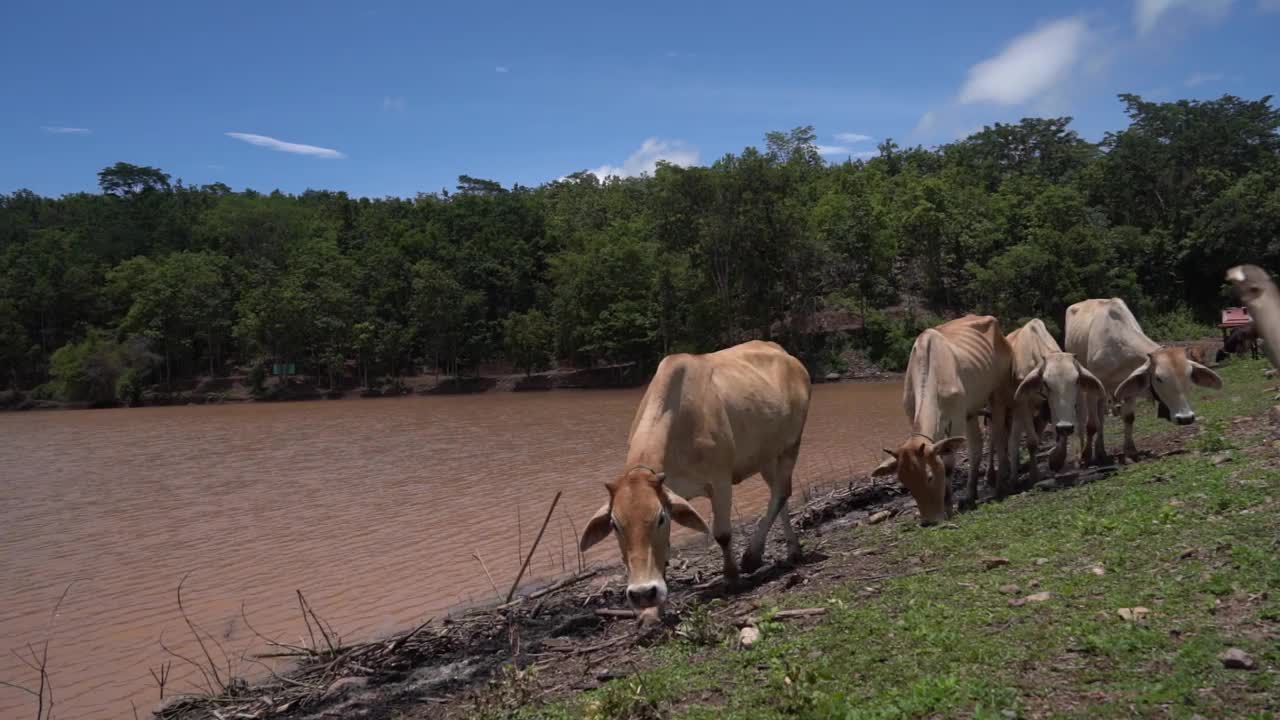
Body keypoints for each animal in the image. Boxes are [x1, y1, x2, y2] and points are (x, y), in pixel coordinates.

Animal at [581, 340, 808, 609]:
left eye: (659, 518)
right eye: (614, 525)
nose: (642, 592)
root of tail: (784, 353)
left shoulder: (720, 481)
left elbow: (722, 533)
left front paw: (732, 578)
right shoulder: (673, 492)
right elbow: (666, 549)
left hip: (791, 445)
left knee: (782, 492)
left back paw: (753, 556)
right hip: (767, 455)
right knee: (779, 495)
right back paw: (792, 550)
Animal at [875, 313, 1013, 520]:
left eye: (929, 476)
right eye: (905, 482)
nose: (928, 521)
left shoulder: (955, 420)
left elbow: (948, 464)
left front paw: (948, 507)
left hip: (997, 394)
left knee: (998, 435)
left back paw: (1000, 484)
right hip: (970, 412)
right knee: (977, 446)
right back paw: (970, 495)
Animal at [1003, 317, 1105, 476]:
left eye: (1077, 380)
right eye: (1045, 382)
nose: (1065, 426)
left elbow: (1062, 434)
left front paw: (1056, 460)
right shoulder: (1023, 404)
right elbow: (1031, 442)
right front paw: (1034, 474)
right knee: (1009, 440)